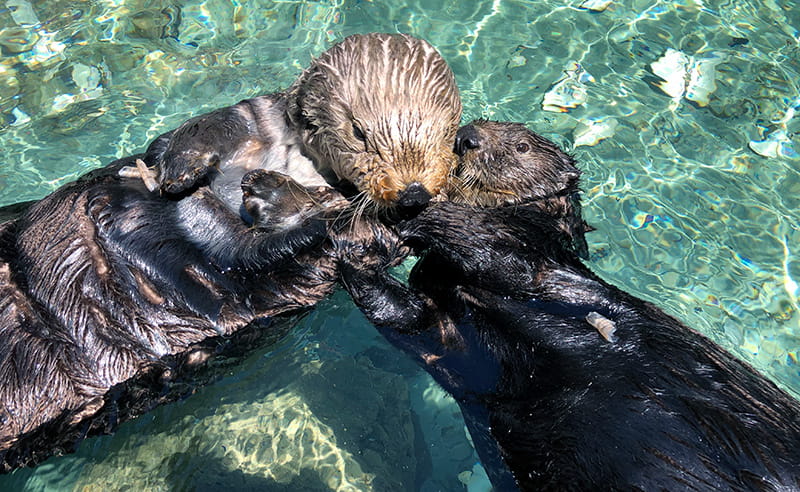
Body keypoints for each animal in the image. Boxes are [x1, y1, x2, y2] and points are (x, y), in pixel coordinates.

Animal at [338, 120, 800, 490]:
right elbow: (415, 321)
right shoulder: (461, 348)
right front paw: (358, 249)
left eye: (522, 145)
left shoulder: (540, 263)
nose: (466, 137)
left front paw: (416, 210)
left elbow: (499, 254)